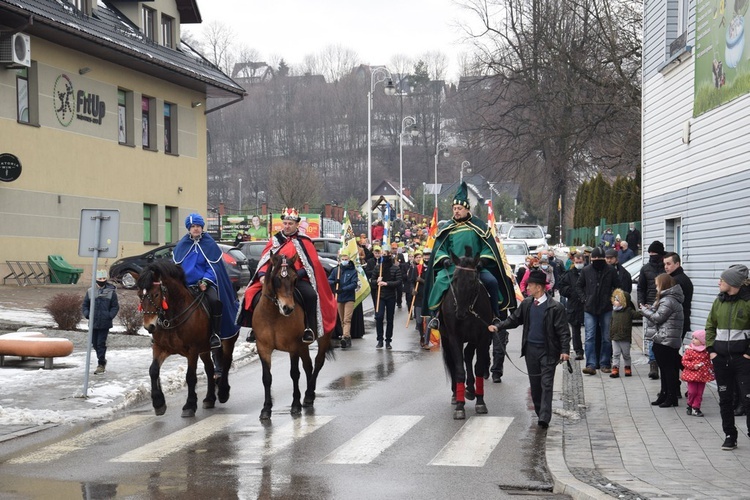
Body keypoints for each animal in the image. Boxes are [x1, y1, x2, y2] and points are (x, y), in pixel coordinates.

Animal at [137, 262, 238, 418]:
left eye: (156, 294)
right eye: (139, 295)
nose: (149, 326)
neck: (173, 317)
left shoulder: (192, 350)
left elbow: (190, 376)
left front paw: (189, 405)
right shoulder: (160, 348)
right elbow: (153, 370)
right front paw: (158, 403)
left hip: (227, 341)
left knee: (226, 363)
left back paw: (222, 392)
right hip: (204, 349)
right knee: (209, 369)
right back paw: (209, 399)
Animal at [251, 252, 334, 420]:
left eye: (295, 279)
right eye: (277, 278)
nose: (288, 308)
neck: (273, 315)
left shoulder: (293, 347)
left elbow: (294, 373)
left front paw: (295, 405)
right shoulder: (263, 348)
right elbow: (266, 378)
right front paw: (266, 409)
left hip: (323, 338)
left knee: (318, 363)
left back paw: (308, 395)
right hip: (303, 346)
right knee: (308, 365)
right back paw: (309, 396)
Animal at [438, 248, 496, 420]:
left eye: (472, 281)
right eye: (455, 279)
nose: (460, 313)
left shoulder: (483, 337)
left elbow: (478, 367)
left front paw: (480, 402)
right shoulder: (454, 338)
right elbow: (459, 370)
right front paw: (459, 406)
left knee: (468, 354)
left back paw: (470, 389)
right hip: (446, 338)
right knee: (454, 361)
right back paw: (456, 394)